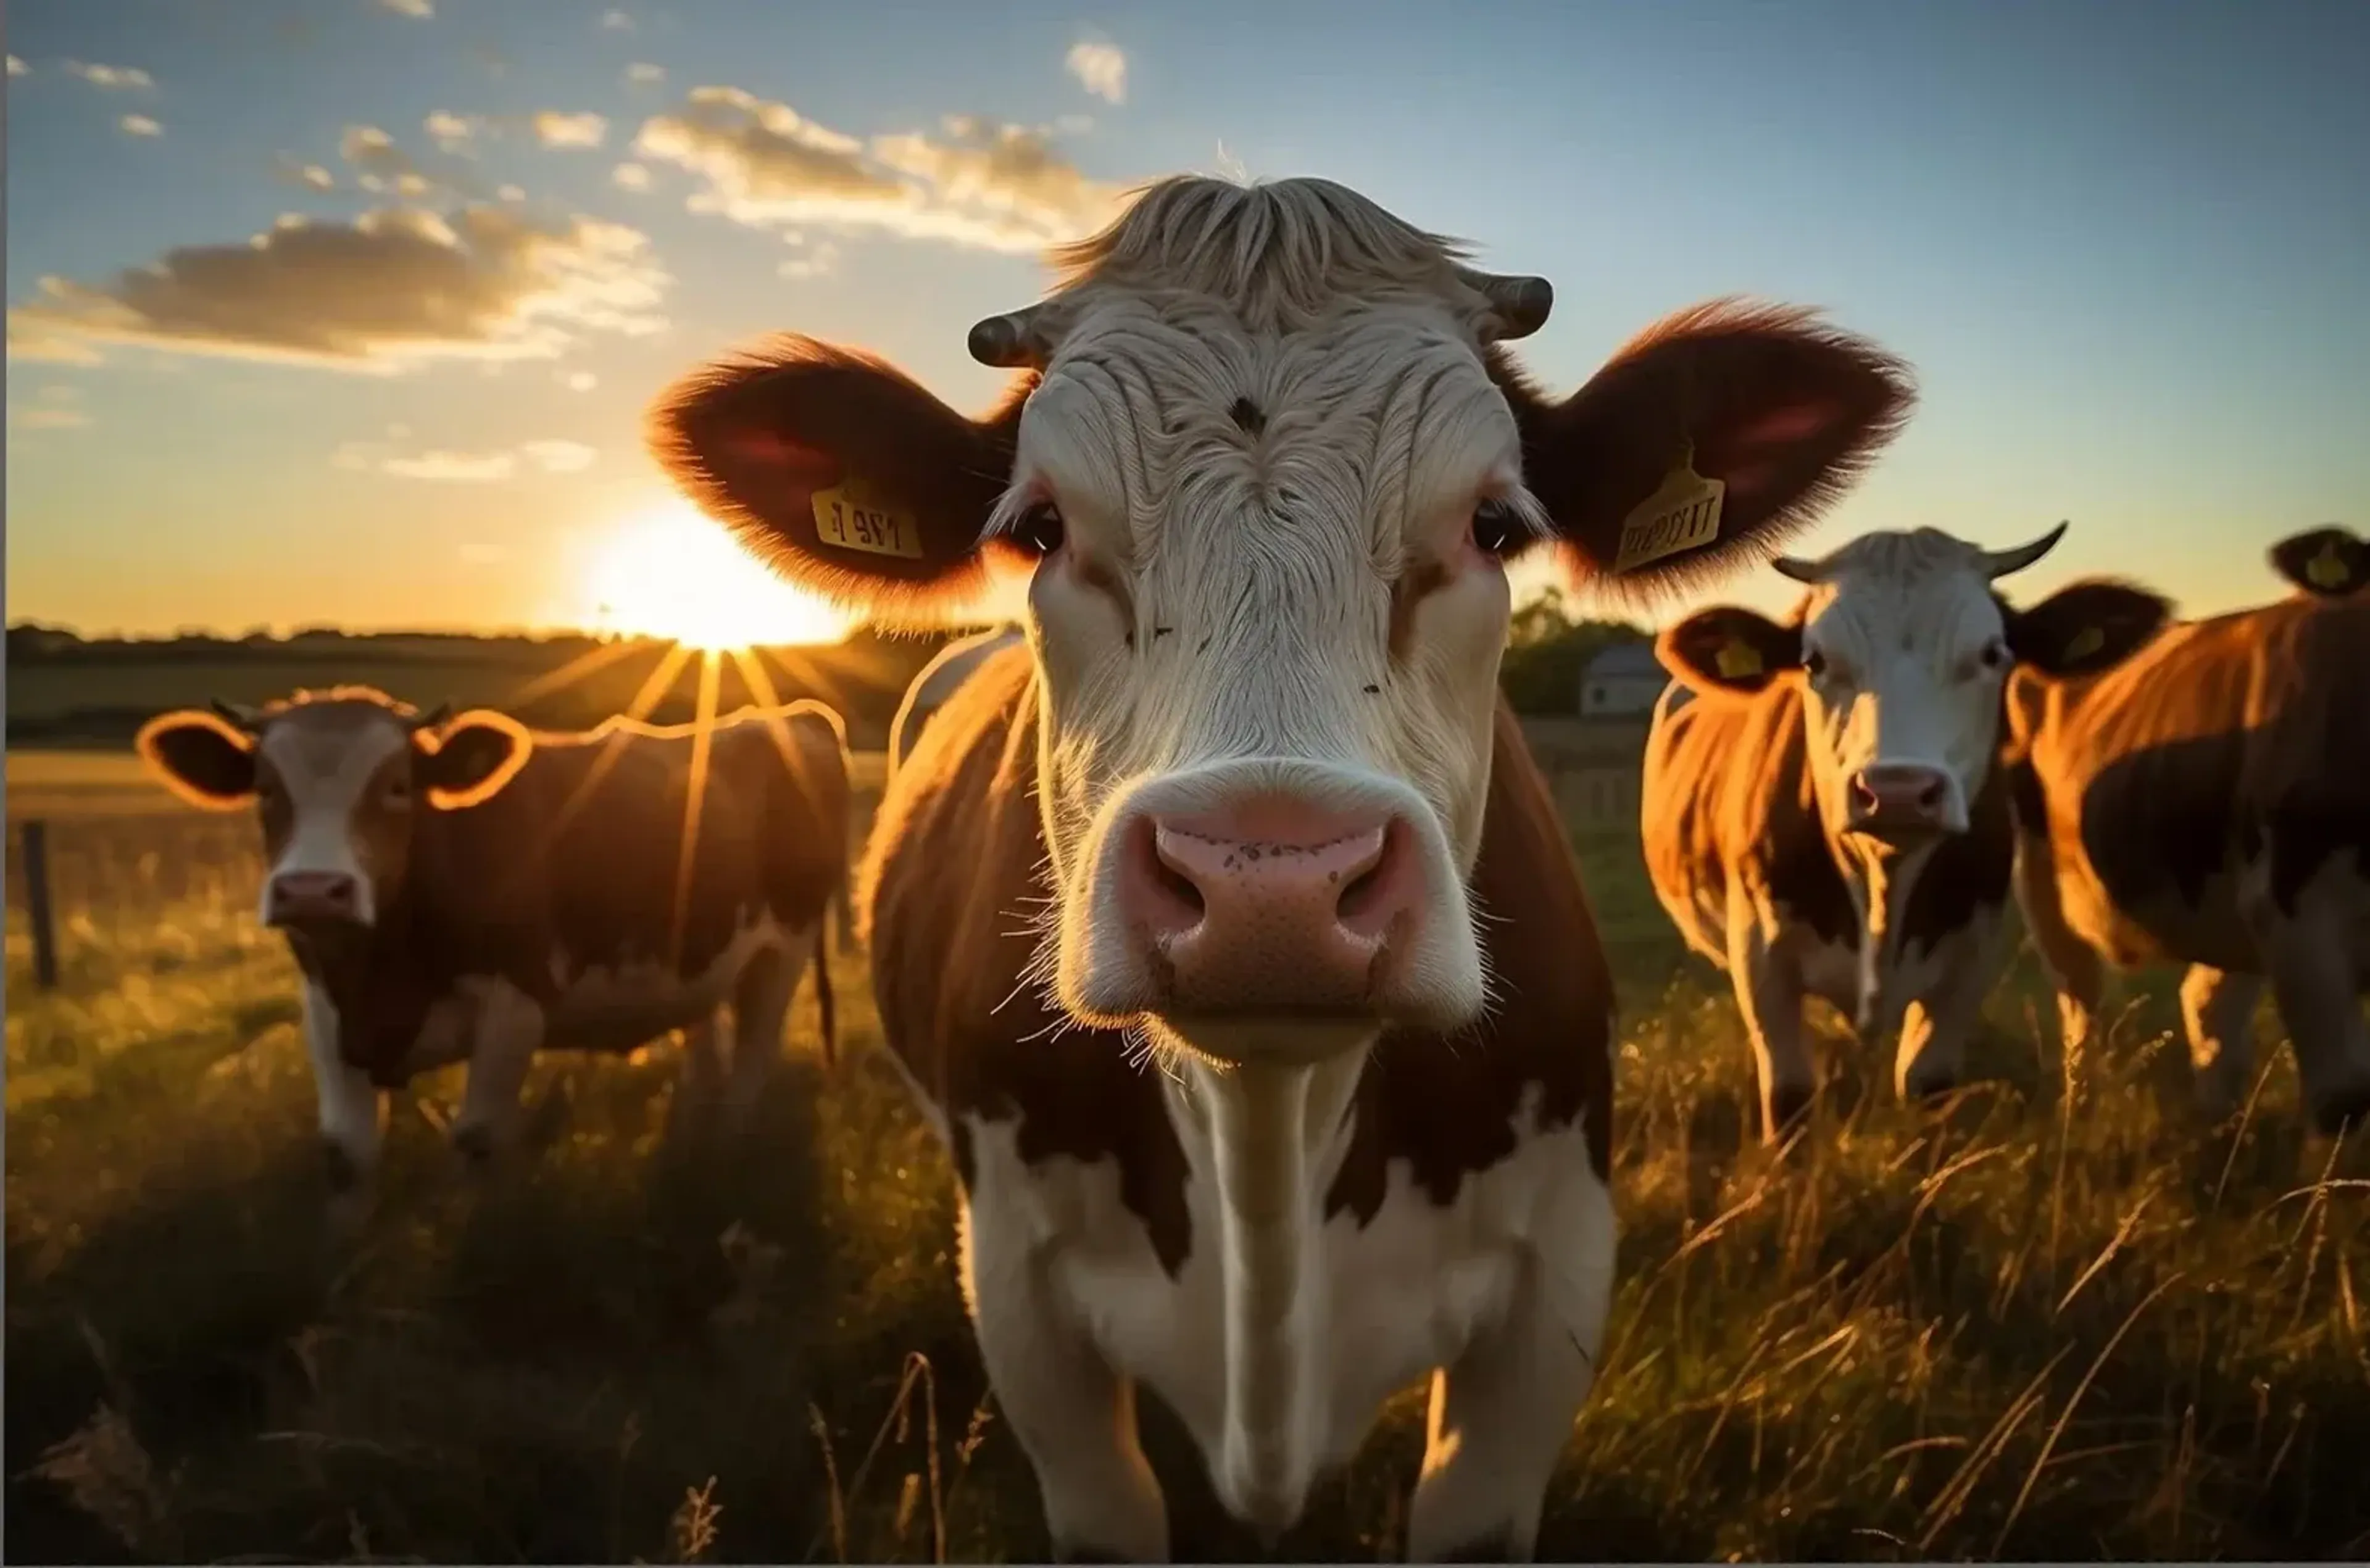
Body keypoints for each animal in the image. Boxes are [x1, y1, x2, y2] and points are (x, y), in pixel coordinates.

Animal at [134, 687, 852, 1218]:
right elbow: (346, 1155)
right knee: (706, 1045)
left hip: (783, 949)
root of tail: (791, 717)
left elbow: (478, 1138)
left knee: (751, 1063)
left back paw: (727, 1157)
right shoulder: (325, 1006)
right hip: (700, 961)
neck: (382, 974)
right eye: (264, 789)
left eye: (398, 786)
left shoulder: (518, 998)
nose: (313, 889)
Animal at [1642, 525, 2173, 1143]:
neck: (1883, 887)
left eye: (1991, 654)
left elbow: (1926, 1084)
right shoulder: (1760, 959)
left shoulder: (1968, 963)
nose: (1897, 789)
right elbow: (1790, 1095)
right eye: (1813, 661)